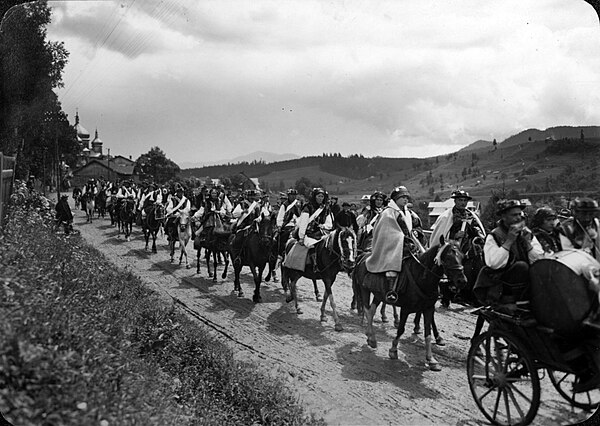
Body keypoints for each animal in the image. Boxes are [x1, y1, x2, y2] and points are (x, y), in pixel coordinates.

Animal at [352, 241, 468, 372]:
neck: (421, 277)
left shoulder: (428, 309)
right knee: (367, 311)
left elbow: (427, 334)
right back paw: (372, 338)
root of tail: (364, 256)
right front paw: (393, 350)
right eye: (448, 257)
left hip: (379, 295)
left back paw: (370, 335)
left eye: (462, 257)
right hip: (365, 290)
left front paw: (431, 359)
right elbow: (401, 329)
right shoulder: (406, 309)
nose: (462, 281)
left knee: (371, 311)